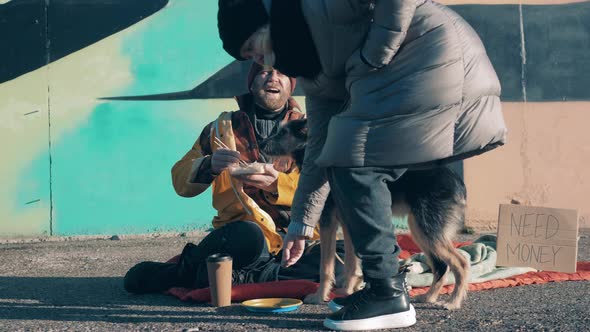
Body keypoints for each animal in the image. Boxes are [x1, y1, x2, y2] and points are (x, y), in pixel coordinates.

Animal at [262, 118, 474, 308]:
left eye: (283, 133)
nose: (262, 144)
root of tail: (459, 183)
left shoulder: (328, 221)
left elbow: (326, 266)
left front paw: (320, 296)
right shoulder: (348, 222)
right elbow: (351, 262)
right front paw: (348, 290)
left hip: (425, 228)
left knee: (461, 263)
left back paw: (453, 302)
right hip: (421, 230)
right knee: (441, 266)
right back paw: (429, 297)